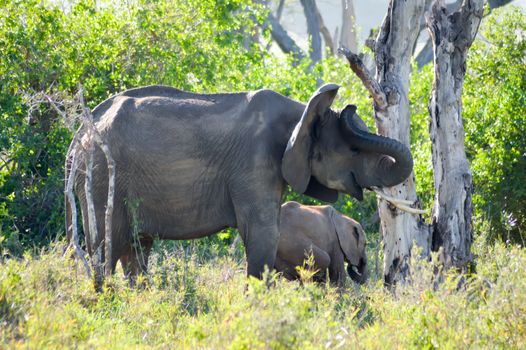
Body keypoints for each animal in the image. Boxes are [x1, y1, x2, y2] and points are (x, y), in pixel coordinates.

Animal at [65, 84, 412, 284]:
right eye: (353, 150)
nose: (352, 107)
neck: (301, 113)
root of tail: (78, 136)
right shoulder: (254, 161)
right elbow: (262, 232)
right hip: (101, 178)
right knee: (107, 247)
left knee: (136, 250)